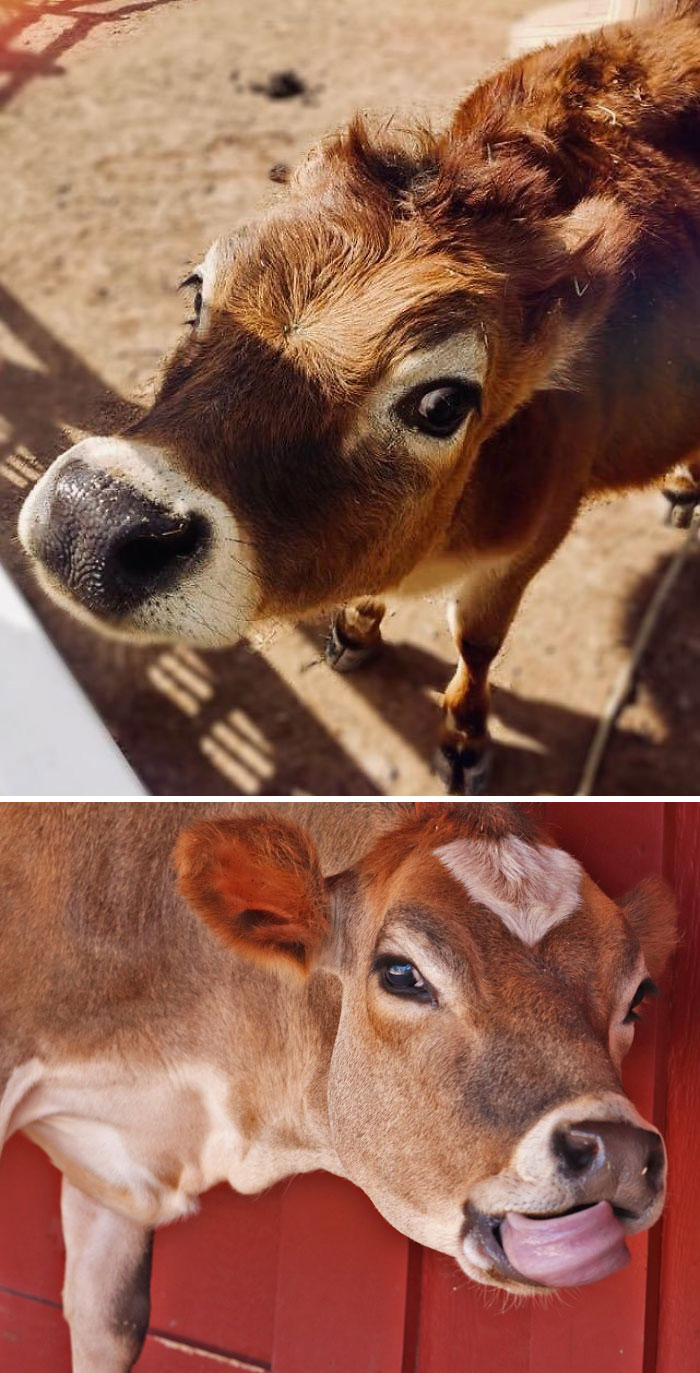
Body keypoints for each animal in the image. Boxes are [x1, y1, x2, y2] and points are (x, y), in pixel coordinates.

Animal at [17, 0, 700, 793]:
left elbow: (478, 641)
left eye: (442, 404)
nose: (89, 518)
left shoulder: (533, 541)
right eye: (195, 292)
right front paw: (357, 627)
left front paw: (465, 737)